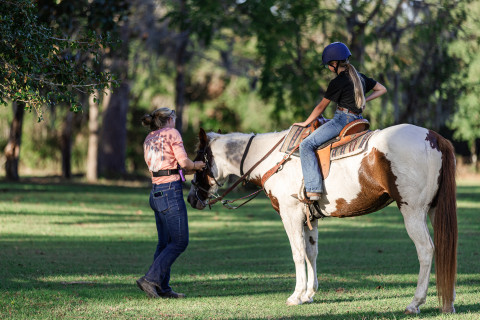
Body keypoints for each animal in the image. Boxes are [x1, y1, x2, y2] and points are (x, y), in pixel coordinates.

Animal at [187, 124, 458, 314]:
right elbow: (311, 253)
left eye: (199, 161)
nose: (191, 198)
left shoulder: (290, 214)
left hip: (412, 211)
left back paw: (415, 302)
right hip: (433, 210)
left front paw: (296, 296)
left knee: (426, 250)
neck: (274, 160)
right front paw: (309, 294)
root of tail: (433, 137)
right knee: (445, 248)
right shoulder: (310, 218)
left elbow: (297, 253)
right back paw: (449, 302)